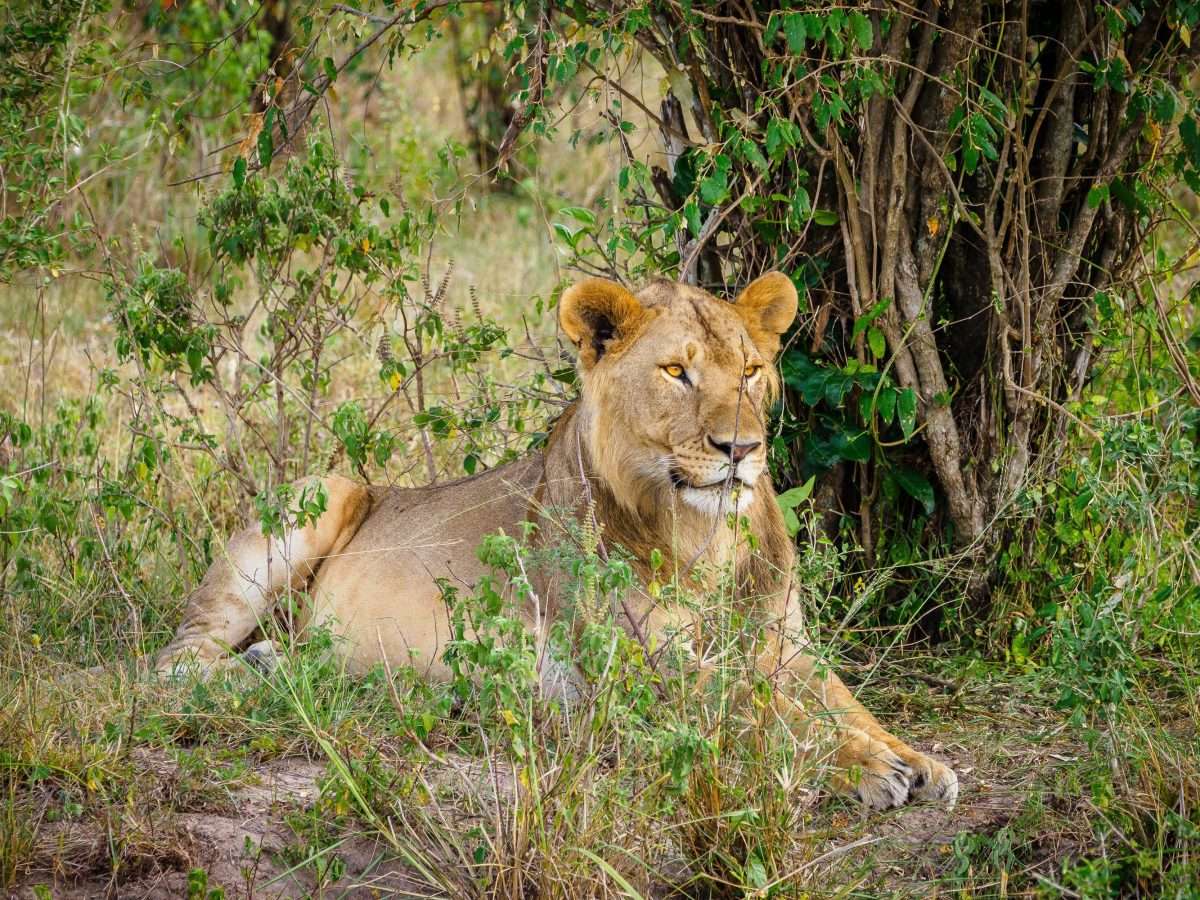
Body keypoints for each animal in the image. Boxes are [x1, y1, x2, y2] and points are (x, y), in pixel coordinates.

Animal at [155, 272, 958, 810]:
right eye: (677, 371)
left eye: (752, 371)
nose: (742, 449)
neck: (702, 537)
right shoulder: (642, 670)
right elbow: (760, 714)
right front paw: (866, 769)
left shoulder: (783, 645)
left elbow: (842, 703)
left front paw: (917, 759)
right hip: (318, 492)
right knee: (174, 662)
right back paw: (291, 676)